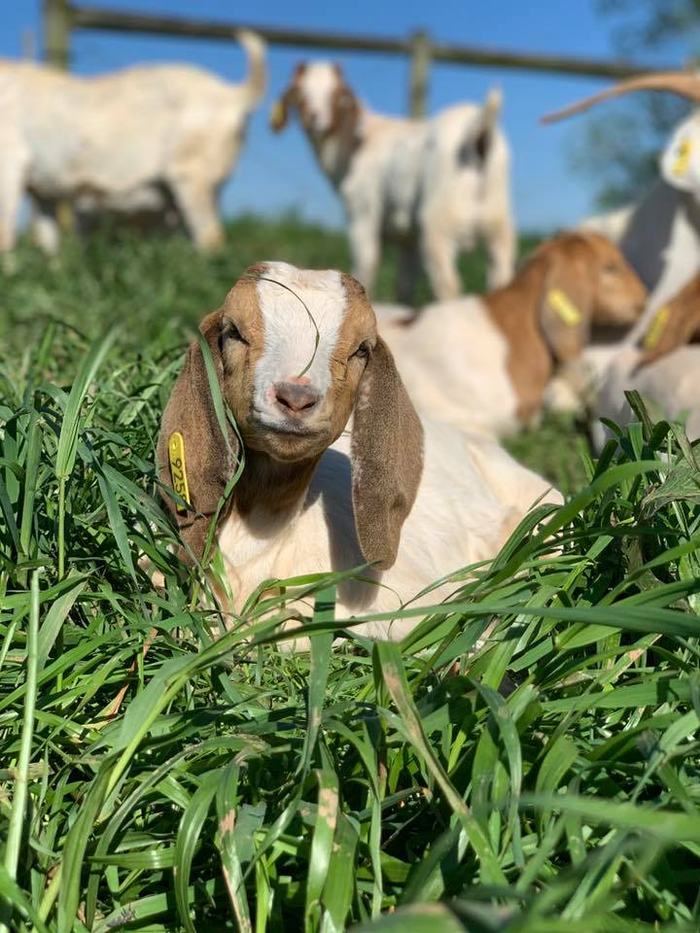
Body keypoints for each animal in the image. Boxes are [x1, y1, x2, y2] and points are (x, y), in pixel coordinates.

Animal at [0, 30, 266, 255]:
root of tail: (232, 94)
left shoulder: (10, 163)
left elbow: (4, 235)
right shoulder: (43, 190)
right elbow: (47, 243)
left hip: (193, 176)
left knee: (210, 238)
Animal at [270, 62, 515, 303]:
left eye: (336, 93)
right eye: (299, 92)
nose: (314, 119)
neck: (356, 144)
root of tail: (478, 129)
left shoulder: (363, 213)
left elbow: (366, 264)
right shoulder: (407, 238)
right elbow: (403, 285)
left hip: (439, 224)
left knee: (448, 285)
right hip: (498, 226)